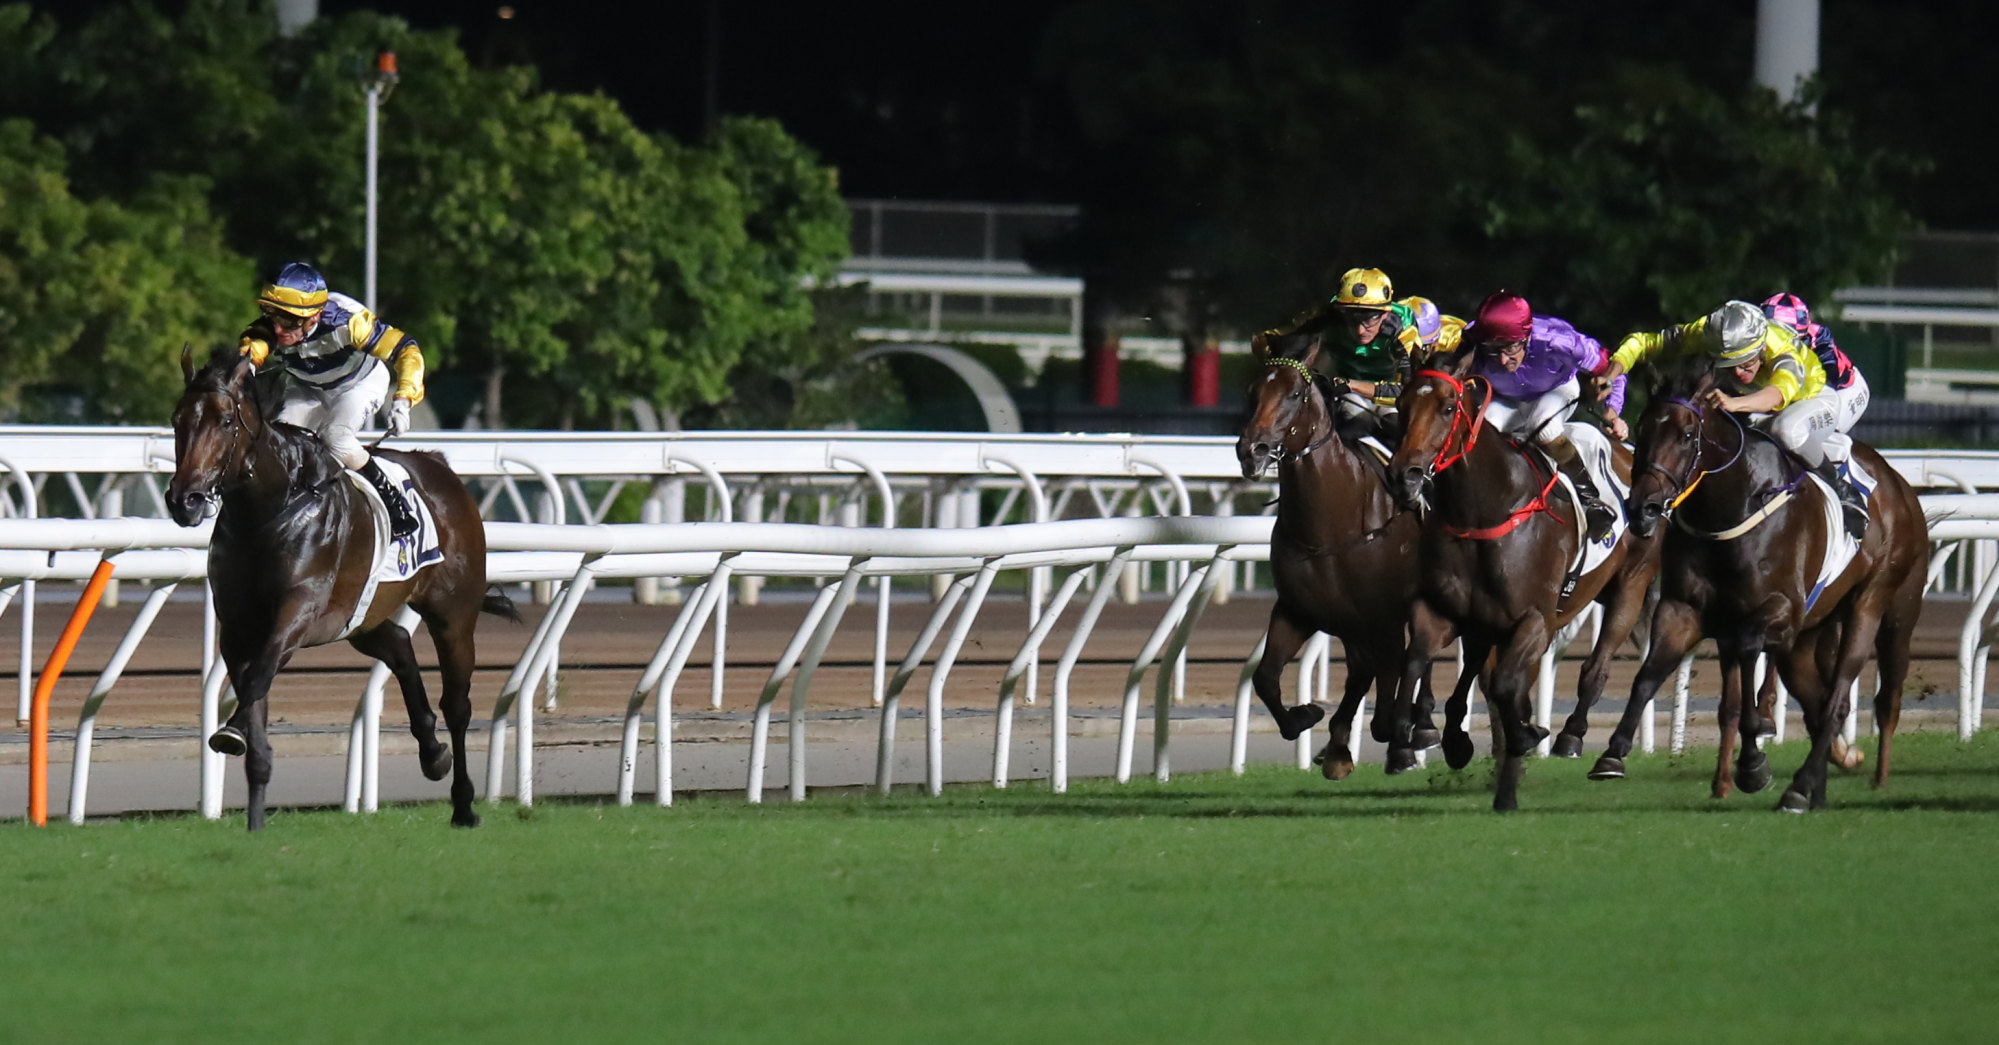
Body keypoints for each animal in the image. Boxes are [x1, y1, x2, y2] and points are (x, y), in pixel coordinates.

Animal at [166, 263, 515, 835]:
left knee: (458, 703)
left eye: (225, 421)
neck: (269, 510)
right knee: (399, 645)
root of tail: (442, 468)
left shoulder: (298, 611)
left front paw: (229, 732)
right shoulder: (238, 626)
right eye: (178, 420)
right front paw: (255, 819)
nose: (185, 500)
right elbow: (254, 696)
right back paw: (431, 752)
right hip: (363, 616)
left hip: (453, 613)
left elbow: (260, 675)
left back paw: (464, 803)